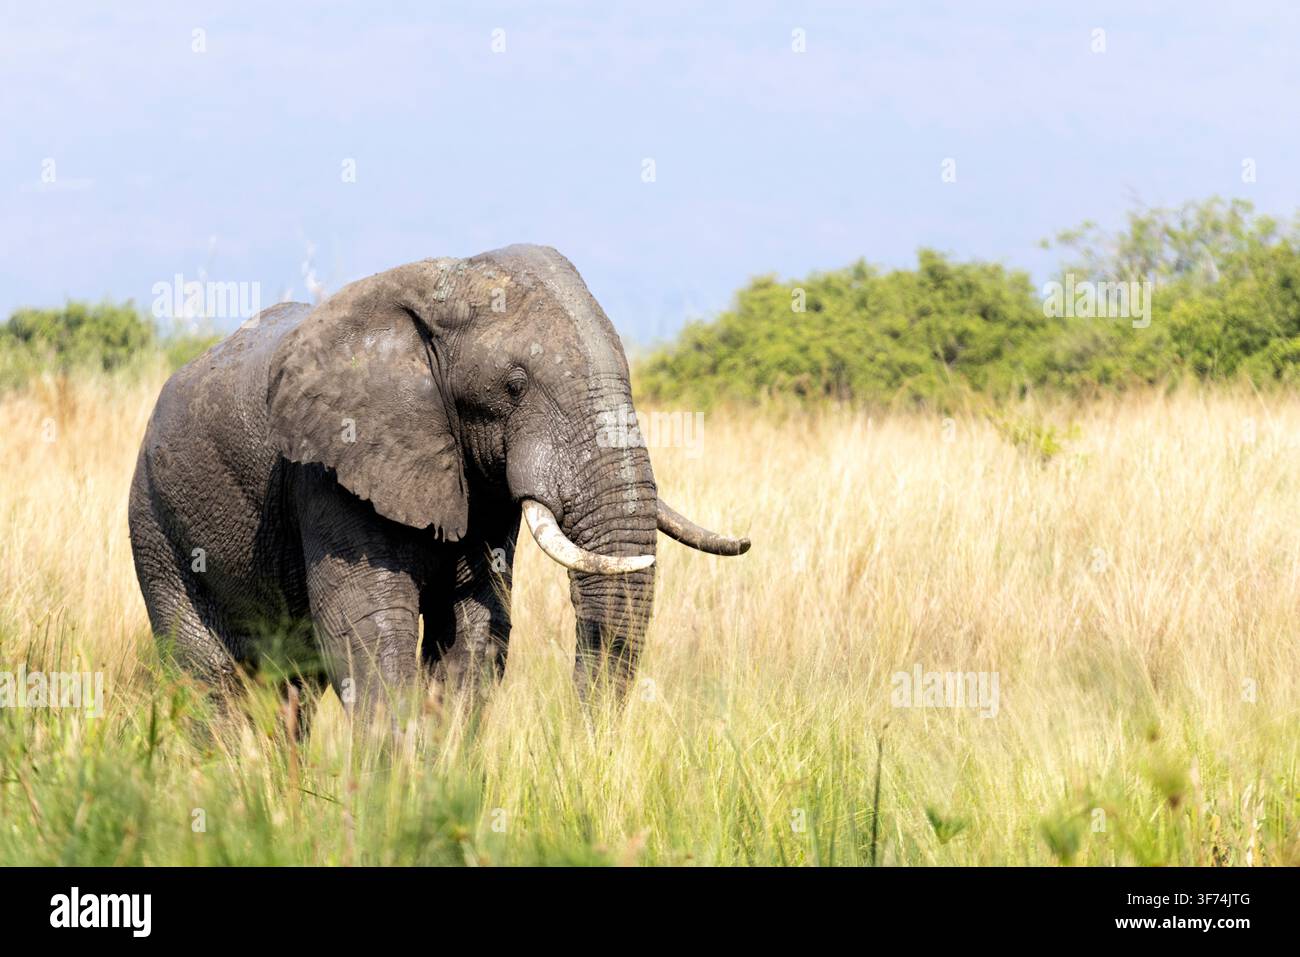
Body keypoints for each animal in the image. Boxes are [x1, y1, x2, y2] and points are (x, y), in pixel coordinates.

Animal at [128, 244, 749, 720]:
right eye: (514, 385)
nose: (583, 743)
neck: (443, 287)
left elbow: (473, 632)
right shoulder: (328, 472)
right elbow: (366, 631)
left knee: (289, 694)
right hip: (156, 529)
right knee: (208, 679)